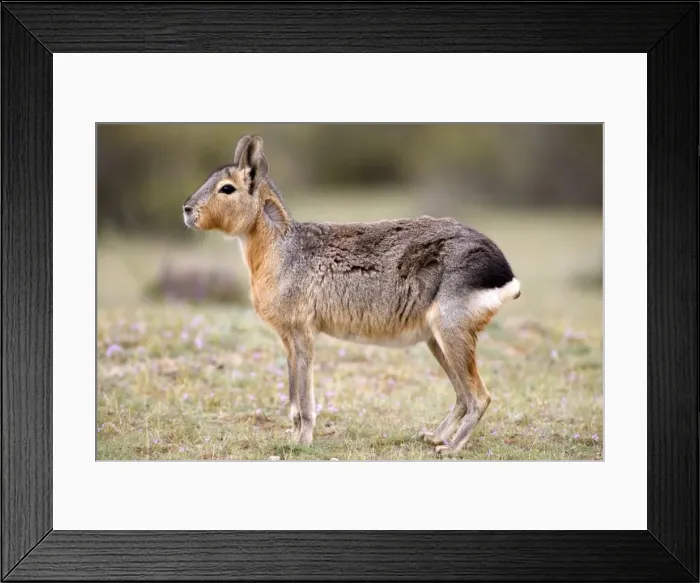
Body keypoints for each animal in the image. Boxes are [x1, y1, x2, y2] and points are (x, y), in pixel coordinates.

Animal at [183, 135, 520, 455]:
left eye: (227, 188)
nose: (186, 209)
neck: (281, 249)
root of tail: (504, 270)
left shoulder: (303, 333)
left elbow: (304, 398)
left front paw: (303, 442)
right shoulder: (287, 338)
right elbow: (292, 397)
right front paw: (294, 437)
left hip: (451, 332)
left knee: (480, 397)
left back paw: (450, 448)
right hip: (436, 339)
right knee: (463, 395)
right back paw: (435, 437)